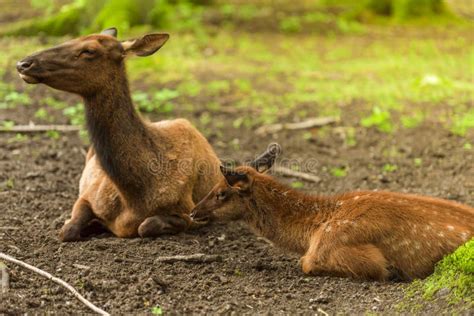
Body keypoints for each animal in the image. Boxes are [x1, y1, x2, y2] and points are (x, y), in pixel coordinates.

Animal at [14, 29, 222, 242]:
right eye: (71, 38)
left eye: (89, 50)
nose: (23, 63)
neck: (135, 196)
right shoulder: (88, 195)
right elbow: (67, 230)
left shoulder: (190, 211)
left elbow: (146, 225)